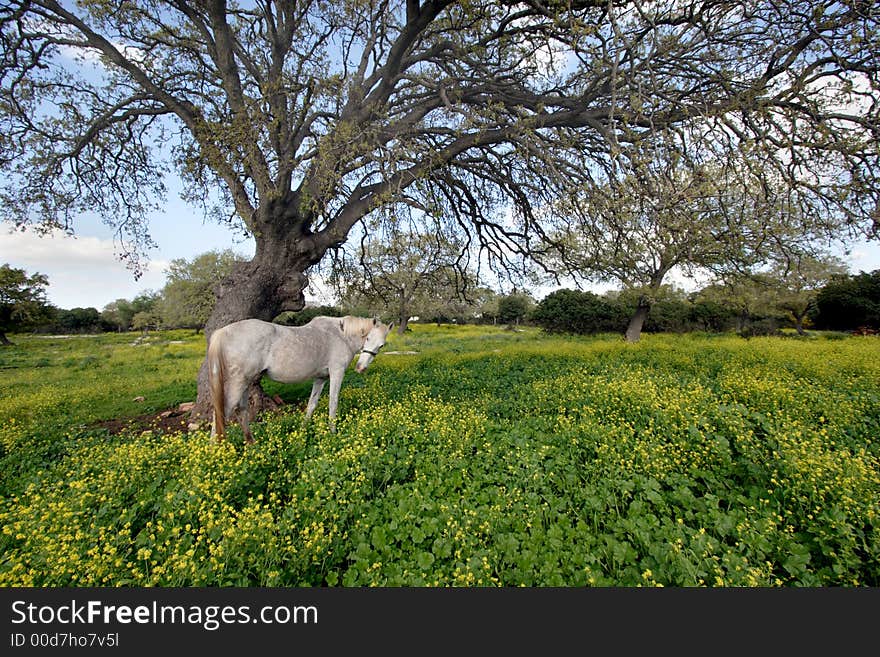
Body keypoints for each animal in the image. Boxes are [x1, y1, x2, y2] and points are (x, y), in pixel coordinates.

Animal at [206, 316, 392, 440]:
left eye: (381, 345)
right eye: (367, 338)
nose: (360, 368)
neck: (341, 335)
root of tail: (223, 332)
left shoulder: (321, 378)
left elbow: (311, 404)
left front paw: (303, 430)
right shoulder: (337, 373)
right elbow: (333, 403)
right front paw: (333, 433)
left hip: (245, 383)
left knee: (242, 411)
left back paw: (251, 444)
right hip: (237, 384)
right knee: (221, 414)